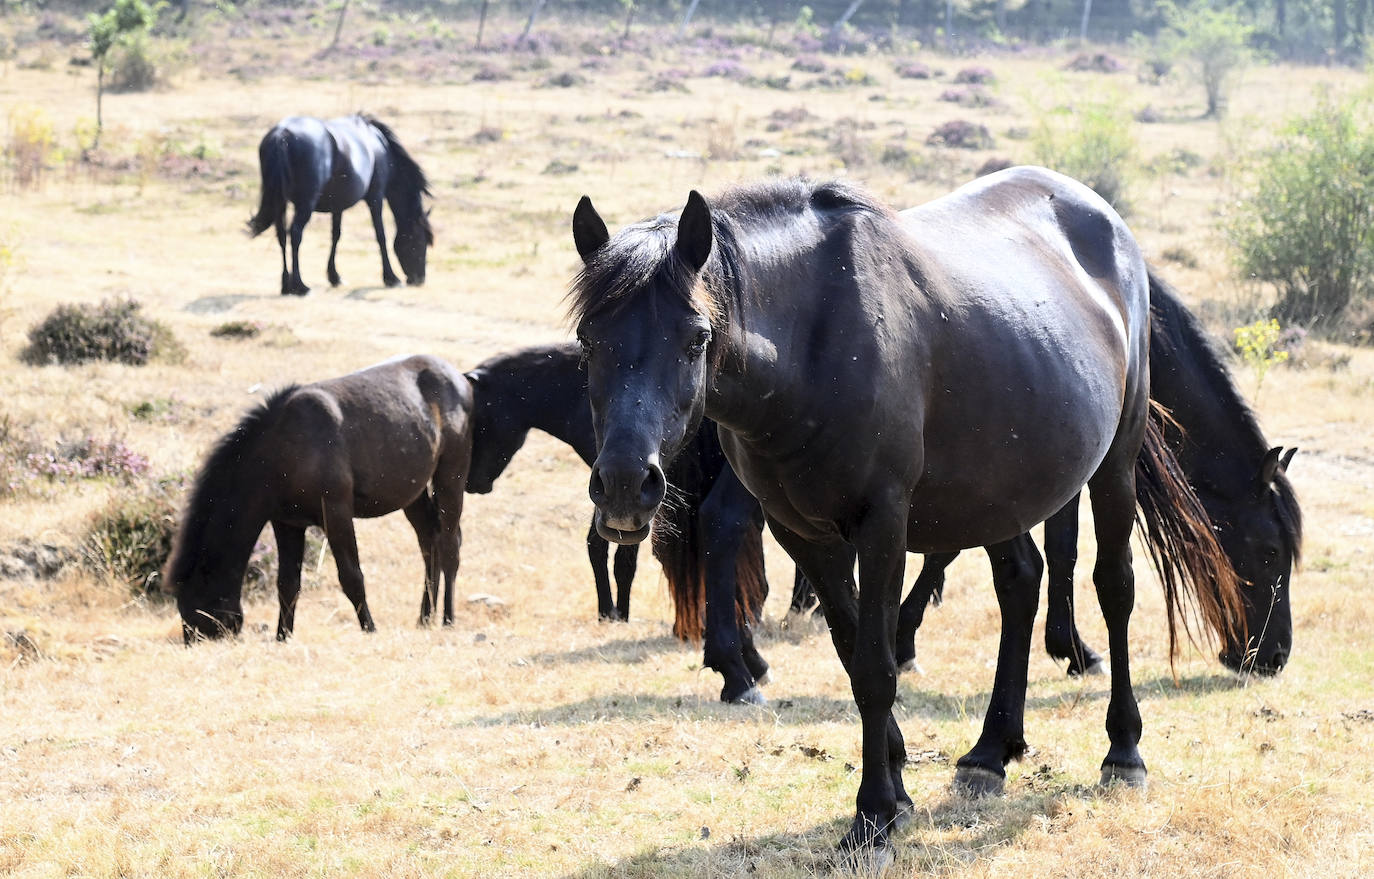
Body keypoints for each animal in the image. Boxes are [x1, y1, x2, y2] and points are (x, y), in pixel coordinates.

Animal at [166, 354, 472, 642]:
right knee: (429, 541)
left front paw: (369, 628)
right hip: (413, 494)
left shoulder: (336, 513)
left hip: (450, 478)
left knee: (449, 545)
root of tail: (459, 379)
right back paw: (425, 617)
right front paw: (282, 636)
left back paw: (447, 618)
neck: (281, 449)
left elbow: (351, 576)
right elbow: (287, 583)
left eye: (196, 615)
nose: (191, 642)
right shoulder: (287, 523)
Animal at [247, 113, 428, 295]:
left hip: (280, 202)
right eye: (422, 241)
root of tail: (282, 134)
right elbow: (381, 235)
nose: (419, 279)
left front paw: (334, 276)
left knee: (282, 236)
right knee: (296, 233)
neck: (380, 147)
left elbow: (336, 235)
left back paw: (285, 285)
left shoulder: (337, 205)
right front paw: (391, 277)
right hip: (305, 204)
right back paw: (300, 286)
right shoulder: (375, 198)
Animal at [568, 168, 1247, 862]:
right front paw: (896, 785)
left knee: (1114, 589)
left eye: (696, 339)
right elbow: (852, 655)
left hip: (1115, 463)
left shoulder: (883, 526)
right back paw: (989, 754)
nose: (624, 485)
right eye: (588, 342)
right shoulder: (803, 534)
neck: (816, 346)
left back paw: (1123, 751)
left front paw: (871, 817)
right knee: (1020, 583)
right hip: (1002, 493)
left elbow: (877, 665)